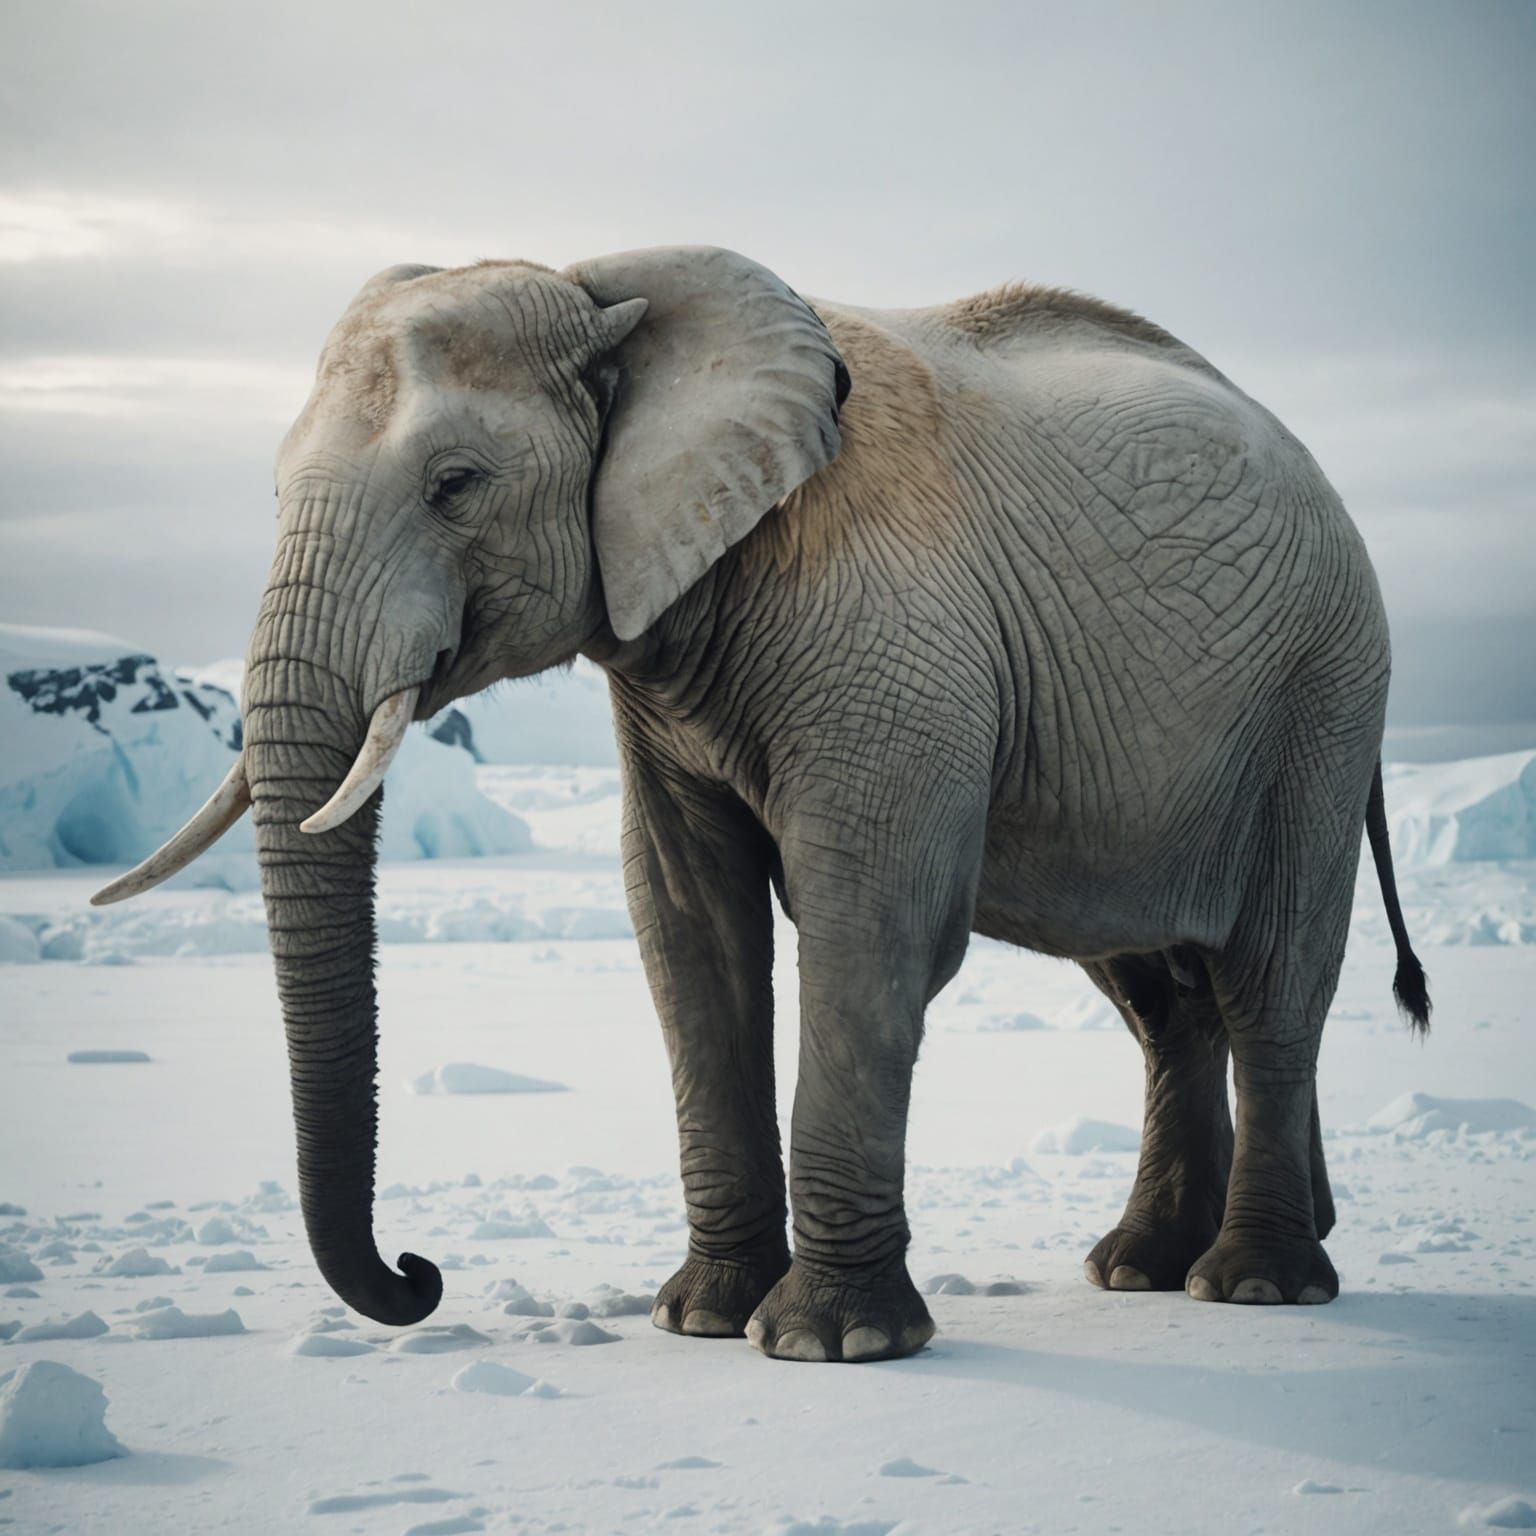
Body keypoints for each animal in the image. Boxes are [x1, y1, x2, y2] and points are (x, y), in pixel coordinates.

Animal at [93, 245, 1430, 1363]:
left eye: (455, 485)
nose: (420, 1274)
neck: (606, 289)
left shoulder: (891, 633)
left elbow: (871, 923)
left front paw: (830, 1344)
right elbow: (688, 926)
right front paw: (698, 1321)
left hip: (1321, 692)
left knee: (1272, 975)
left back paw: (1253, 1284)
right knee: (1160, 997)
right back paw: (1144, 1269)